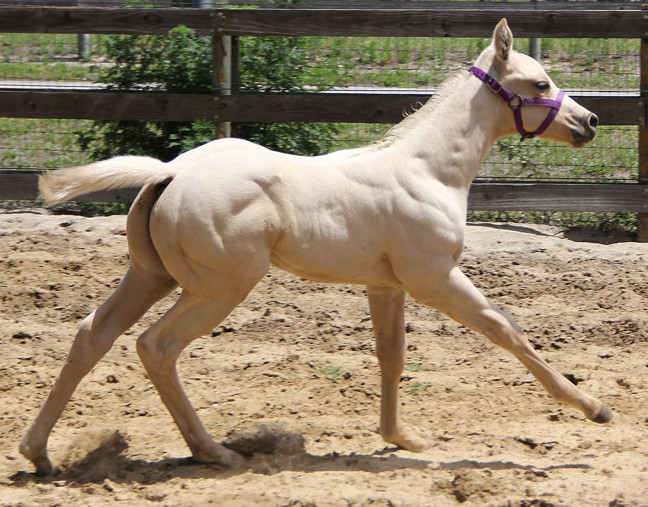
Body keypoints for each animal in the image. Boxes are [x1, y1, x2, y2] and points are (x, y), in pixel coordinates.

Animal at [22, 19, 610, 476]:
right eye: (540, 83)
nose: (589, 122)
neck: (427, 170)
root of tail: (169, 173)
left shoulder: (386, 283)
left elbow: (392, 355)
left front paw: (401, 437)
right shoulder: (435, 277)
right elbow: (508, 331)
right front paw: (593, 408)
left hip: (151, 276)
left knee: (92, 335)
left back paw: (39, 453)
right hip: (219, 288)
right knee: (157, 347)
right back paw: (214, 453)